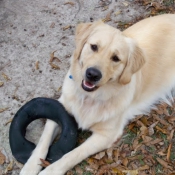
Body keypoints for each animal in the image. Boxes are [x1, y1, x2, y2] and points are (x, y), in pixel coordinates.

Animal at [20, 14, 175, 175]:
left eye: (116, 58)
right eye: (94, 47)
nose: (92, 74)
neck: (89, 97)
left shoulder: (106, 135)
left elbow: (73, 154)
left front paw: (50, 171)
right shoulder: (60, 107)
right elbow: (43, 140)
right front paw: (30, 167)